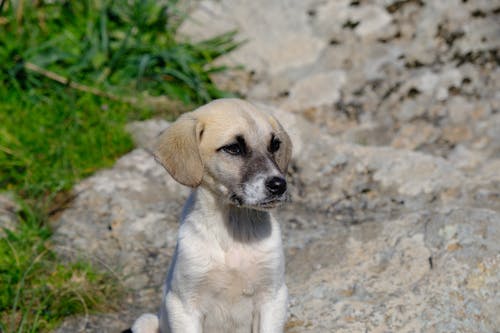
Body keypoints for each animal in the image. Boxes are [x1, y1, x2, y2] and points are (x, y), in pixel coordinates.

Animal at [131, 98, 292, 332]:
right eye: (233, 148)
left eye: (275, 145)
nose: (279, 185)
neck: (233, 230)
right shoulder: (184, 305)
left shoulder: (273, 297)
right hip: (145, 321)